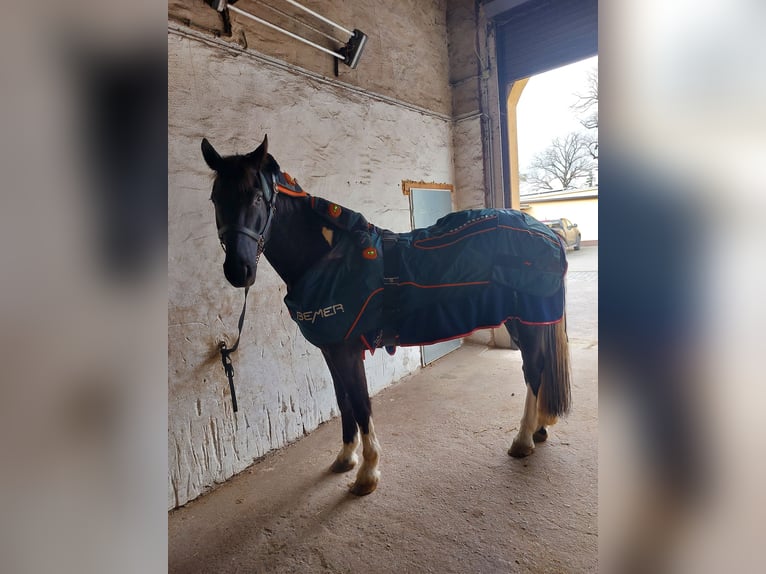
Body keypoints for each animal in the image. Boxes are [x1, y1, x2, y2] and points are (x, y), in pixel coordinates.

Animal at [198, 136, 568, 500]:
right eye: (215, 198)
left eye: (257, 196)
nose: (238, 270)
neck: (328, 260)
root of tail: (546, 231)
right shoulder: (330, 350)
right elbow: (343, 401)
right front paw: (345, 457)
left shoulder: (347, 351)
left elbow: (361, 404)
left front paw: (367, 473)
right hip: (526, 322)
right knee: (537, 367)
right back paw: (538, 430)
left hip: (527, 320)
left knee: (533, 369)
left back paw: (522, 440)